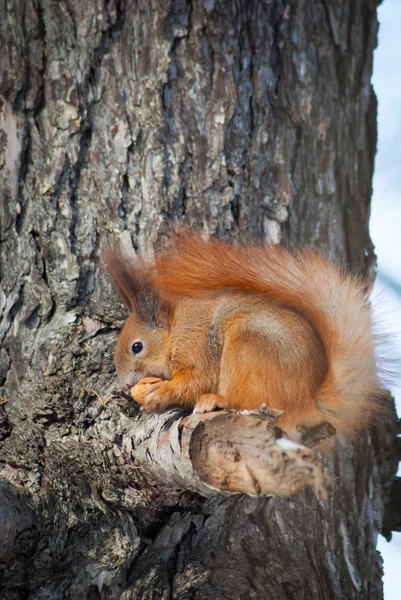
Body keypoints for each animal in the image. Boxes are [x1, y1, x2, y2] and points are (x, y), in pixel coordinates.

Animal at [104, 232, 382, 448]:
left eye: (137, 347)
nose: (125, 385)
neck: (174, 330)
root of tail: (307, 399)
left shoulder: (195, 344)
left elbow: (198, 380)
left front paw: (160, 393)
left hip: (247, 346)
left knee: (245, 401)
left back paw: (216, 400)